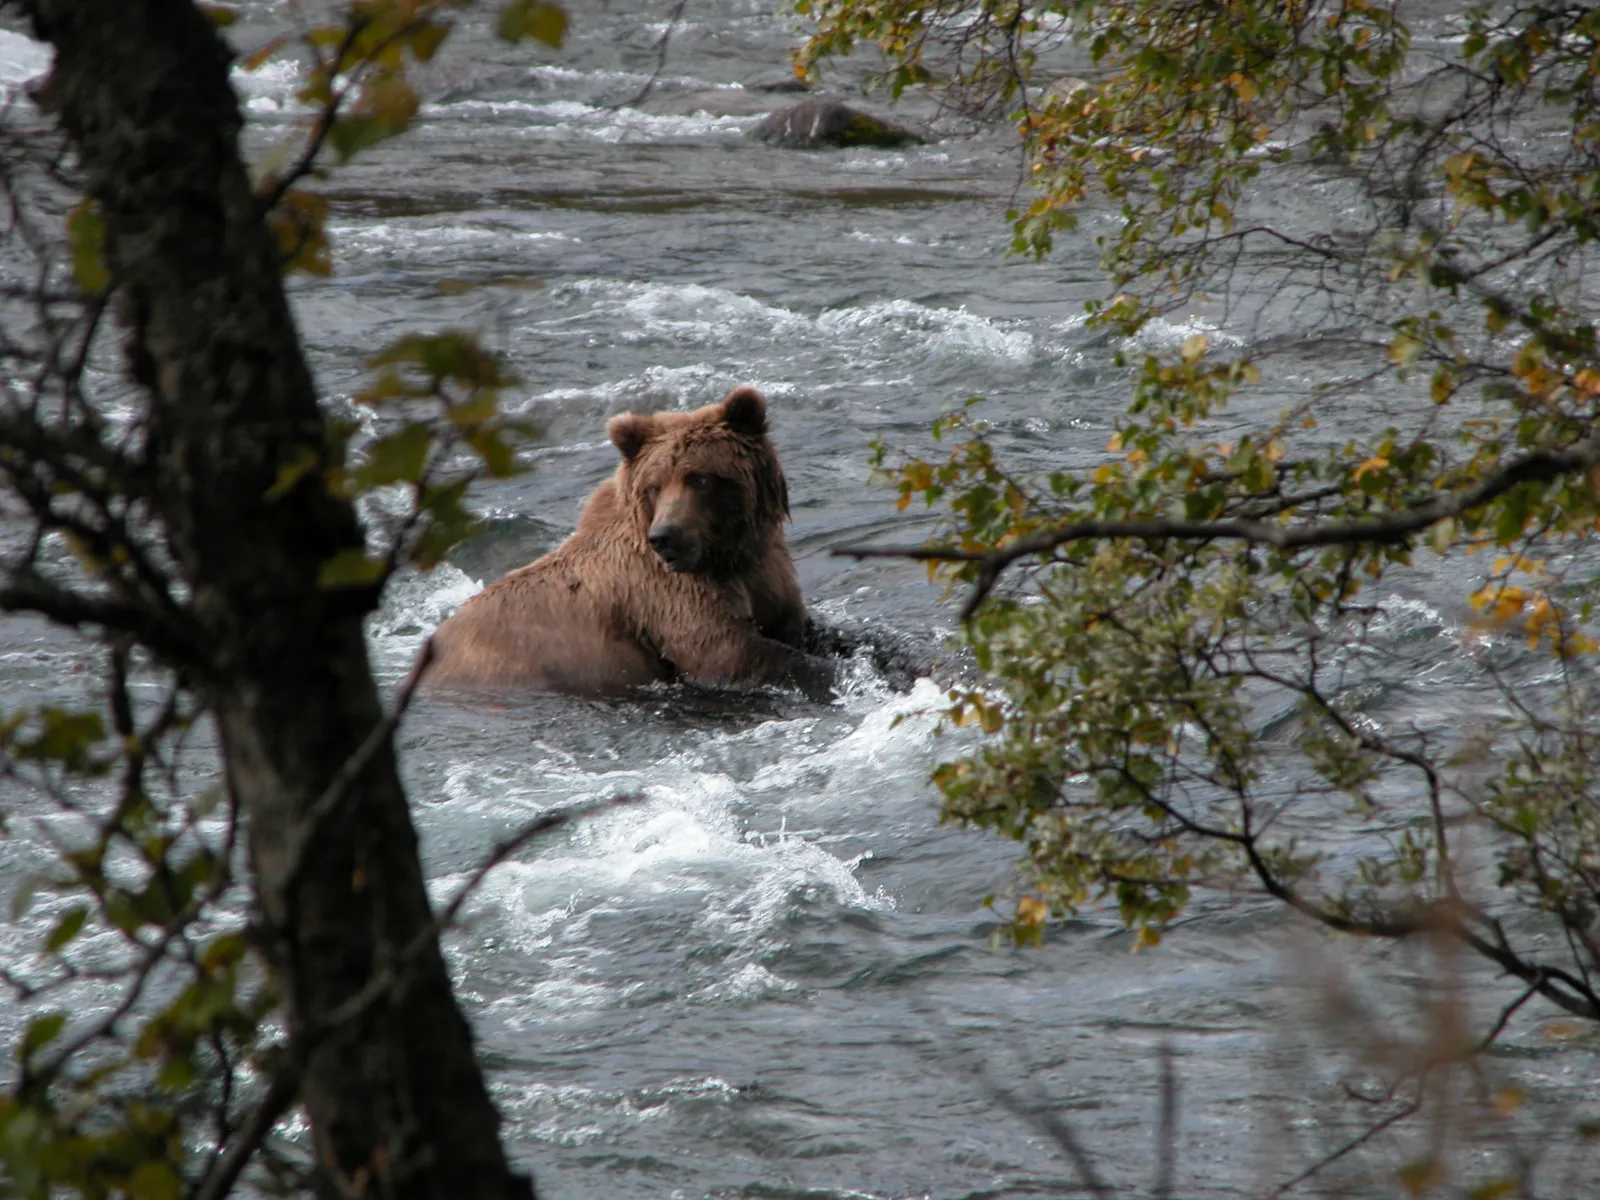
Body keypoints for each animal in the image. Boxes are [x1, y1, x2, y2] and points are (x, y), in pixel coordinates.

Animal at [423, 386, 834, 700]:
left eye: (699, 478)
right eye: (655, 485)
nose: (664, 536)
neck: (727, 554)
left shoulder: (765, 571)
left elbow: (795, 626)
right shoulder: (664, 594)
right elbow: (728, 651)